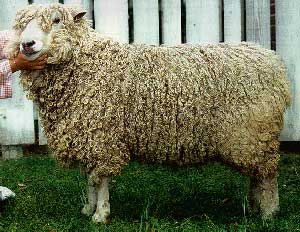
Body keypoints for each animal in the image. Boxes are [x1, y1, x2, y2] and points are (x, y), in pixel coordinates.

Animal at [5, 2, 290, 223]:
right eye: (22, 25)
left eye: (56, 20)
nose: (27, 44)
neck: (88, 64)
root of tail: (272, 60)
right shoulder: (87, 135)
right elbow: (90, 178)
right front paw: (88, 208)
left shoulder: (103, 136)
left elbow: (101, 178)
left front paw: (101, 214)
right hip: (252, 139)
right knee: (257, 174)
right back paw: (254, 206)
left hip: (252, 132)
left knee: (268, 174)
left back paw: (269, 211)